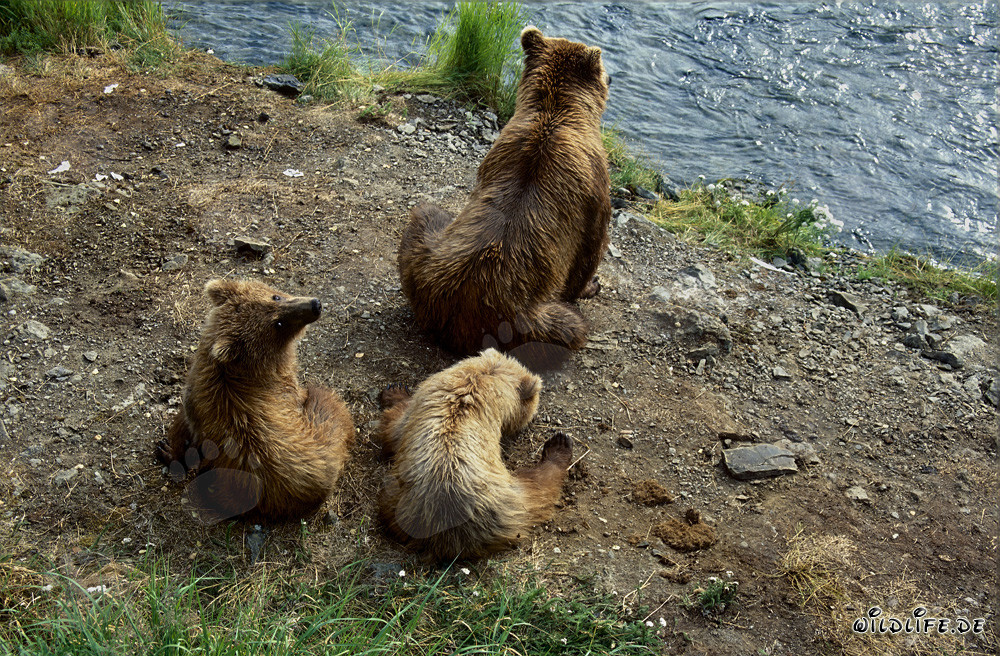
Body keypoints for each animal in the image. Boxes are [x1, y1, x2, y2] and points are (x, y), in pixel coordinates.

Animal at [375, 348, 573, 561]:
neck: (483, 377)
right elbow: (393, 426)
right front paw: (395, 391)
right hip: (503, 497)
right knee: (538, 486)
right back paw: (558, 446)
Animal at [397, 26, 612, 368]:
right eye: (604, 72)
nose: (612, 78)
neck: (558, 113)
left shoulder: (498, 151)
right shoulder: (594, 186)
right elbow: (591, 248)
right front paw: (591, 285)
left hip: (424, 257)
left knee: (425, 213)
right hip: (527, 323)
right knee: (571, 327)